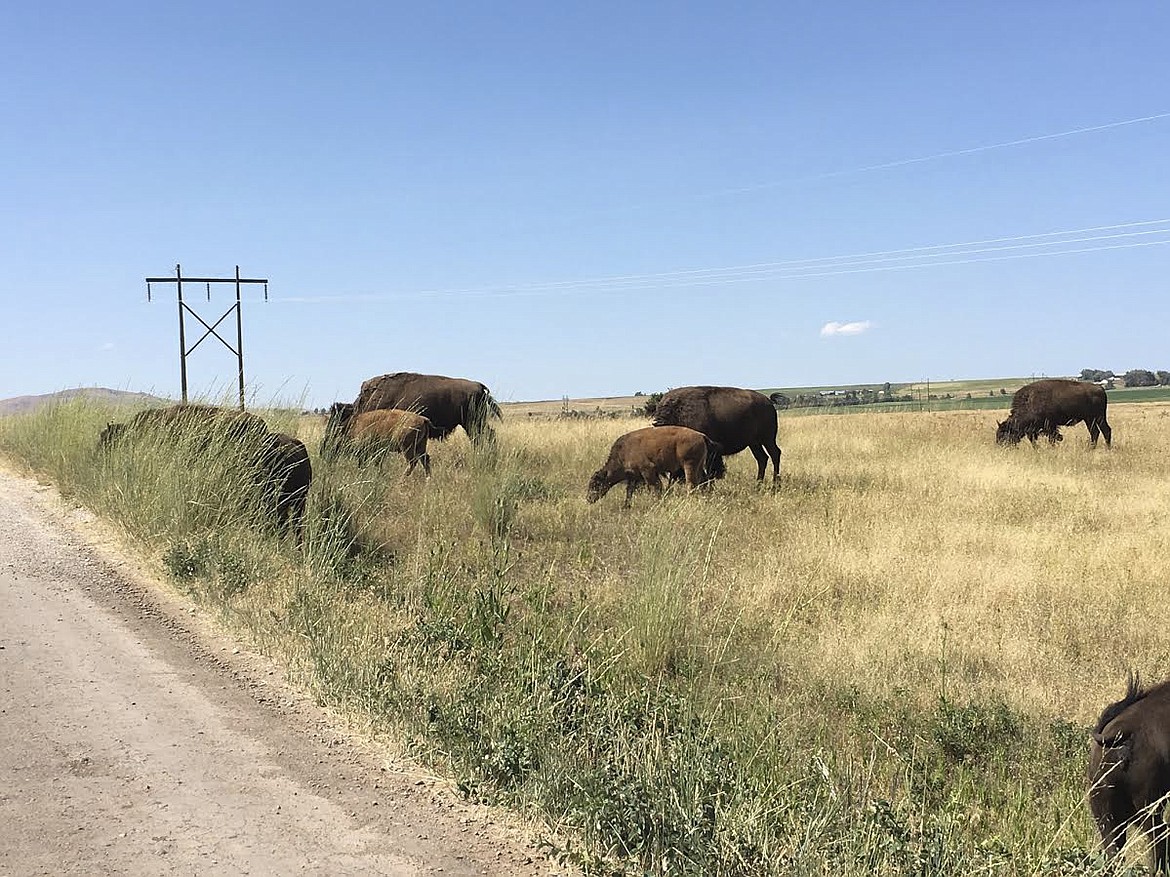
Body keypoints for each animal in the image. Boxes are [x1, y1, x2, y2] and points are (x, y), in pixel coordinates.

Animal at [585, 425, 720, 507]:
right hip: (699, 466)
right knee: (702, 481)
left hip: (689, 465)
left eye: (595, 484)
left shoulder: (648, 470)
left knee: (691, 484)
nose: (589, 499)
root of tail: (701, 435)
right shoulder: (634, 477)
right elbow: (629, 491)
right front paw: (626, 506)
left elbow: (654, 487)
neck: (622, 453)